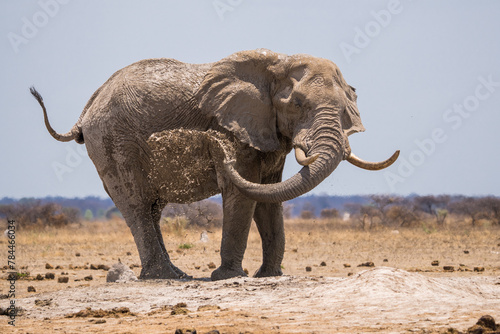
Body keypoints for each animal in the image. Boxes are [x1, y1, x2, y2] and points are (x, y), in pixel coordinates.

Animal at [31, 48, 398, 280]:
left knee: (152, 209)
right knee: (136, 206)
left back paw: (175, 274)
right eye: (296, 104)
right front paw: (228, 277)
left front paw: (269, 276)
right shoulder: (239, 128)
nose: (212, 142)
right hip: (113, 144)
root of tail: (86, 109)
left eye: (347, 105)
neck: (275, 65)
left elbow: (269, 196)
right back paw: (164, 276)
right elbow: (244, 194)